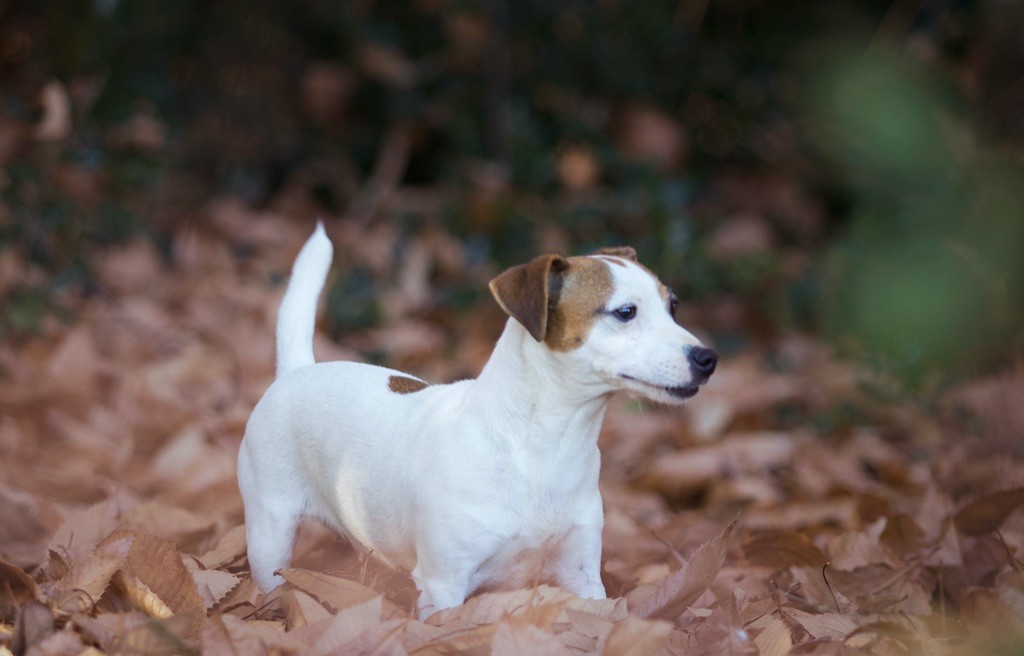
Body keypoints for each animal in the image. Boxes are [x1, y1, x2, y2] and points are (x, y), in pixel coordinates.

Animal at [239, 223, 720, 618]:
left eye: (674, 307)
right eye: (625, 312)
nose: (708, 358)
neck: (542, 448)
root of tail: (297, 370)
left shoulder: (581, 572)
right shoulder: (443, 584)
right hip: (270, 535)